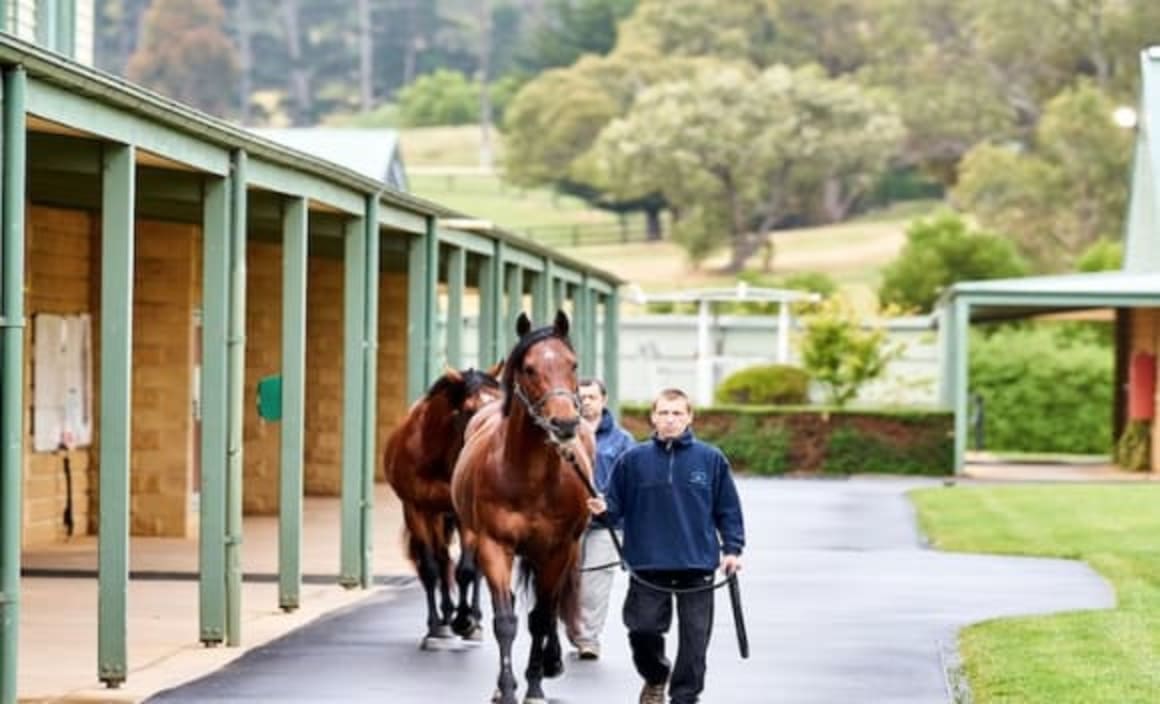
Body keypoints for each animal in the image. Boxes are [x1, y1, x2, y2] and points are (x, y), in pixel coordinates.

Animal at [383, 362, 503, 649]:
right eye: (468, 409)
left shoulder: (464, 515)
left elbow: (467, 570)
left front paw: (466, 621)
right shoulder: (416, 509)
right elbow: (431, 569)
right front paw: (437, 627)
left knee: (473, 566)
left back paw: (473, 620)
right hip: (436, 516)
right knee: (442, 559)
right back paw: (447, 617)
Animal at [452, 311, 596, 704]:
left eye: (573, 364)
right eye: (529, 368)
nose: (565, 423)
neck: (530, 479)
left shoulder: (557, 550)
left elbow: (542, 618)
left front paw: (534, 685)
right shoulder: (493, 545)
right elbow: (506, 621)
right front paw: (506, 689)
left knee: (552, 607)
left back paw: (552, 662)